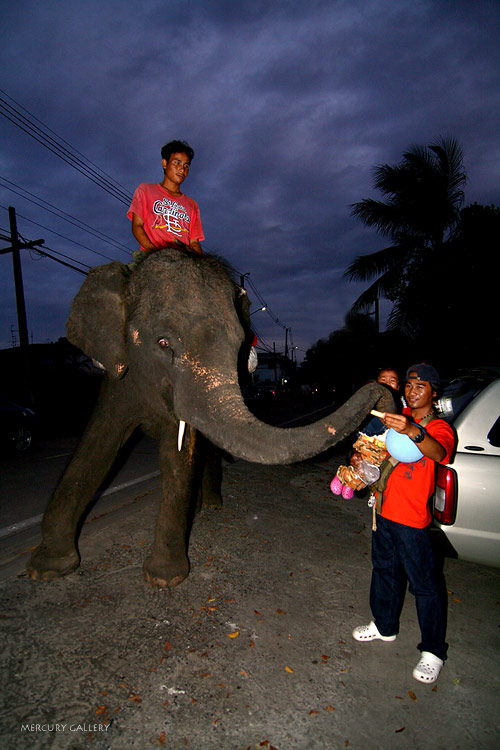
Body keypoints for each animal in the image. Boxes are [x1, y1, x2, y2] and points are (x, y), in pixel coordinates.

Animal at [26, 247, 394, 588]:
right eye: (163, 343)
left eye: (240, 345)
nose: (384, 391)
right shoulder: (119, 377)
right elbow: (97, 444)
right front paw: (46, 570)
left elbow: (177, 454)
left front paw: (163, 579)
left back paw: (211, 506)